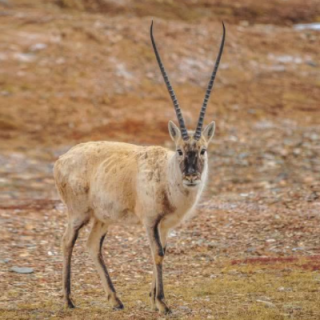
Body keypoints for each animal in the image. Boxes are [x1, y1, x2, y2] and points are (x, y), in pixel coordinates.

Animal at [54, 21, 225, 314]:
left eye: (202, 150)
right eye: (180, 150)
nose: (191, 176)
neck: (166, 174)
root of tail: (62, 159)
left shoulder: (165, 225)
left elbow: (162, 250)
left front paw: (153, 296)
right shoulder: (149, 221)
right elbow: (156, 253)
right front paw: (162, 303)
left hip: (102, 218)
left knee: (92, 245)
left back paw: (115, 300)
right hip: (79, 213)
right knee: (67, 241)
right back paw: (68, 299)